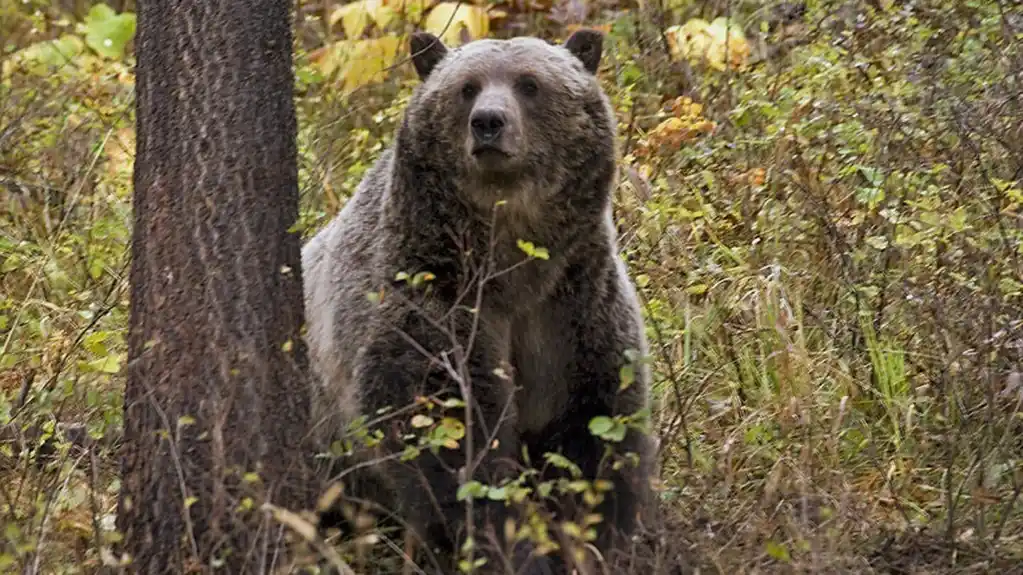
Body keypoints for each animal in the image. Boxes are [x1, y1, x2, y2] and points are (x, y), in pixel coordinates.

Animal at [300, 28, 654, 572]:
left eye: (529, 83)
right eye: (466, 87)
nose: (488, 122)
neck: (512, 260)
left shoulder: (572, 305)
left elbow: (594, 427)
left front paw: (595, 538)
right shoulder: (434, 294)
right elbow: (450, 435)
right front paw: (508, 546)